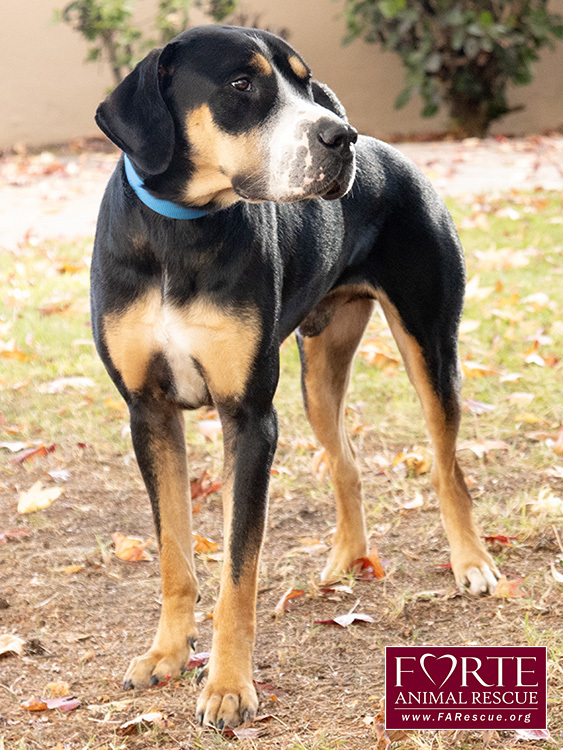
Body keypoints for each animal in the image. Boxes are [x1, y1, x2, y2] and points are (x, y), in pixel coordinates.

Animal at [92, 25, 502, 736]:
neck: (178, 232)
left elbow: (238, 569)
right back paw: (346, 563)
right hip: (319, 373)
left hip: (430, 348)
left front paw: (229, 687)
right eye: (241, 84)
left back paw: (471, 562)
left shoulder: (250, 417)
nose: (342, 136)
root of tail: (398, 157)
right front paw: (166, 654)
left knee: (448, 467)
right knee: (347, 464)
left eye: (305, 85)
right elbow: (174, 553)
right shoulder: (149, 412)